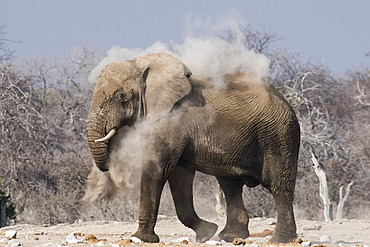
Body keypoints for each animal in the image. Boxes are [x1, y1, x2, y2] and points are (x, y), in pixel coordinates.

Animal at [86, 53, 300, 243]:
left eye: (120, 96)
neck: (143, 64)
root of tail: (284, 100)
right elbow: (179, 176)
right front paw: (206, 233)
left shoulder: (171, 120)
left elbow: (157, 169)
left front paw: (140, 238)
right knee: (230, 185)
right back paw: (229, 236)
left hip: (278, 134)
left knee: (279, 185)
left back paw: (280, 240)